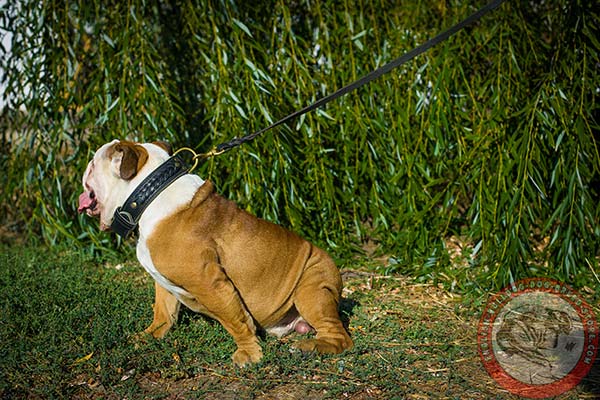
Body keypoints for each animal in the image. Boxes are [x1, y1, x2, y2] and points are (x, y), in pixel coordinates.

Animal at [78, 140, 354, 366]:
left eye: (92, 164)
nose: (85, 166)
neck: (150, 194)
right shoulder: (163, 283)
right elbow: (163, 312)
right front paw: (149, 335)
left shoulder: (210, 283)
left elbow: (236, 320)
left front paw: (249, 353)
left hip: (312, 290)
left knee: (340, 336)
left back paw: (310, 346)